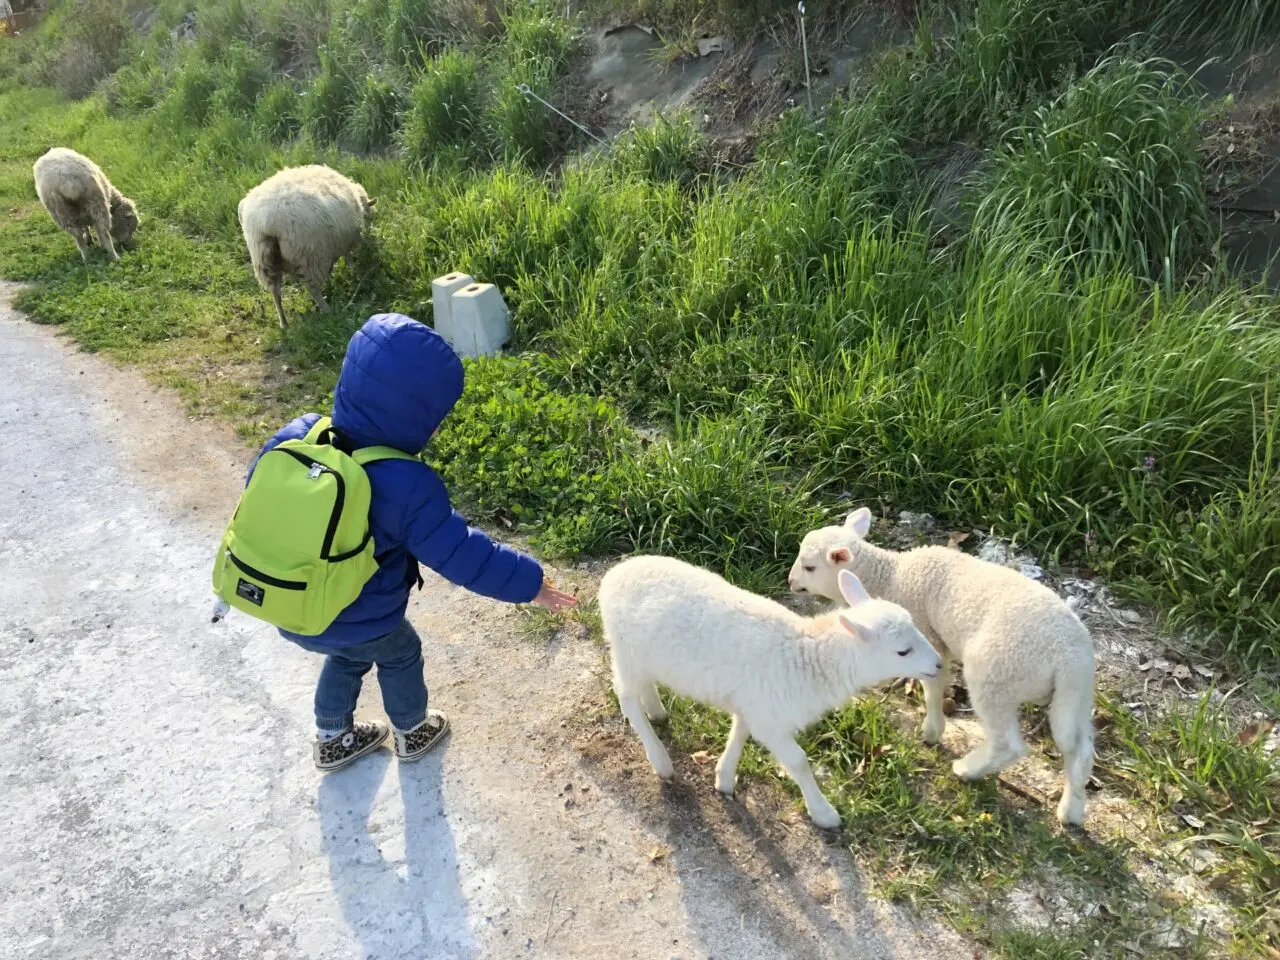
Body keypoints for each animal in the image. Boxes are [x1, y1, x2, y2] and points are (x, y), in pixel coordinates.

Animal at [238, 163, 373, 330]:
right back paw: (327, 310)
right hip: (308, 255)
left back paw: (284, 323)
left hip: (263, 259)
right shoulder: (344, 241)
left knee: (275, 292)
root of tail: (265, 222)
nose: (370, 235)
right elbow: (348, 258)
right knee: (312, 288)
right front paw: (354, 274)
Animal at [596, 555, 942, 829]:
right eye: (902, 651)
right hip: (625, 650)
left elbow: (739, 734)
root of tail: (613, 575)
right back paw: (660, 759)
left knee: (642, 684)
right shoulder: (769, 718)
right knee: (625, 696)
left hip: (641, 656)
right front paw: (824, 813)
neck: (809, 658)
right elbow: (799, 762)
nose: (939, 664)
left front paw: (724, 778)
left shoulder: (755, 705)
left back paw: (656, 710)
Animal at [783, 512, 1095, 829]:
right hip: (1076, 695)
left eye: (809, 566)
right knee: (1079, 747)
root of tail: (1069, 658)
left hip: (997, 675)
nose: (791, 581)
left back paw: (967, 769)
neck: (889, 575)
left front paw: (932, 730)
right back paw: (1071, 811)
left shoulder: (927, 636)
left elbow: (932, 686)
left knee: (1008, 744)